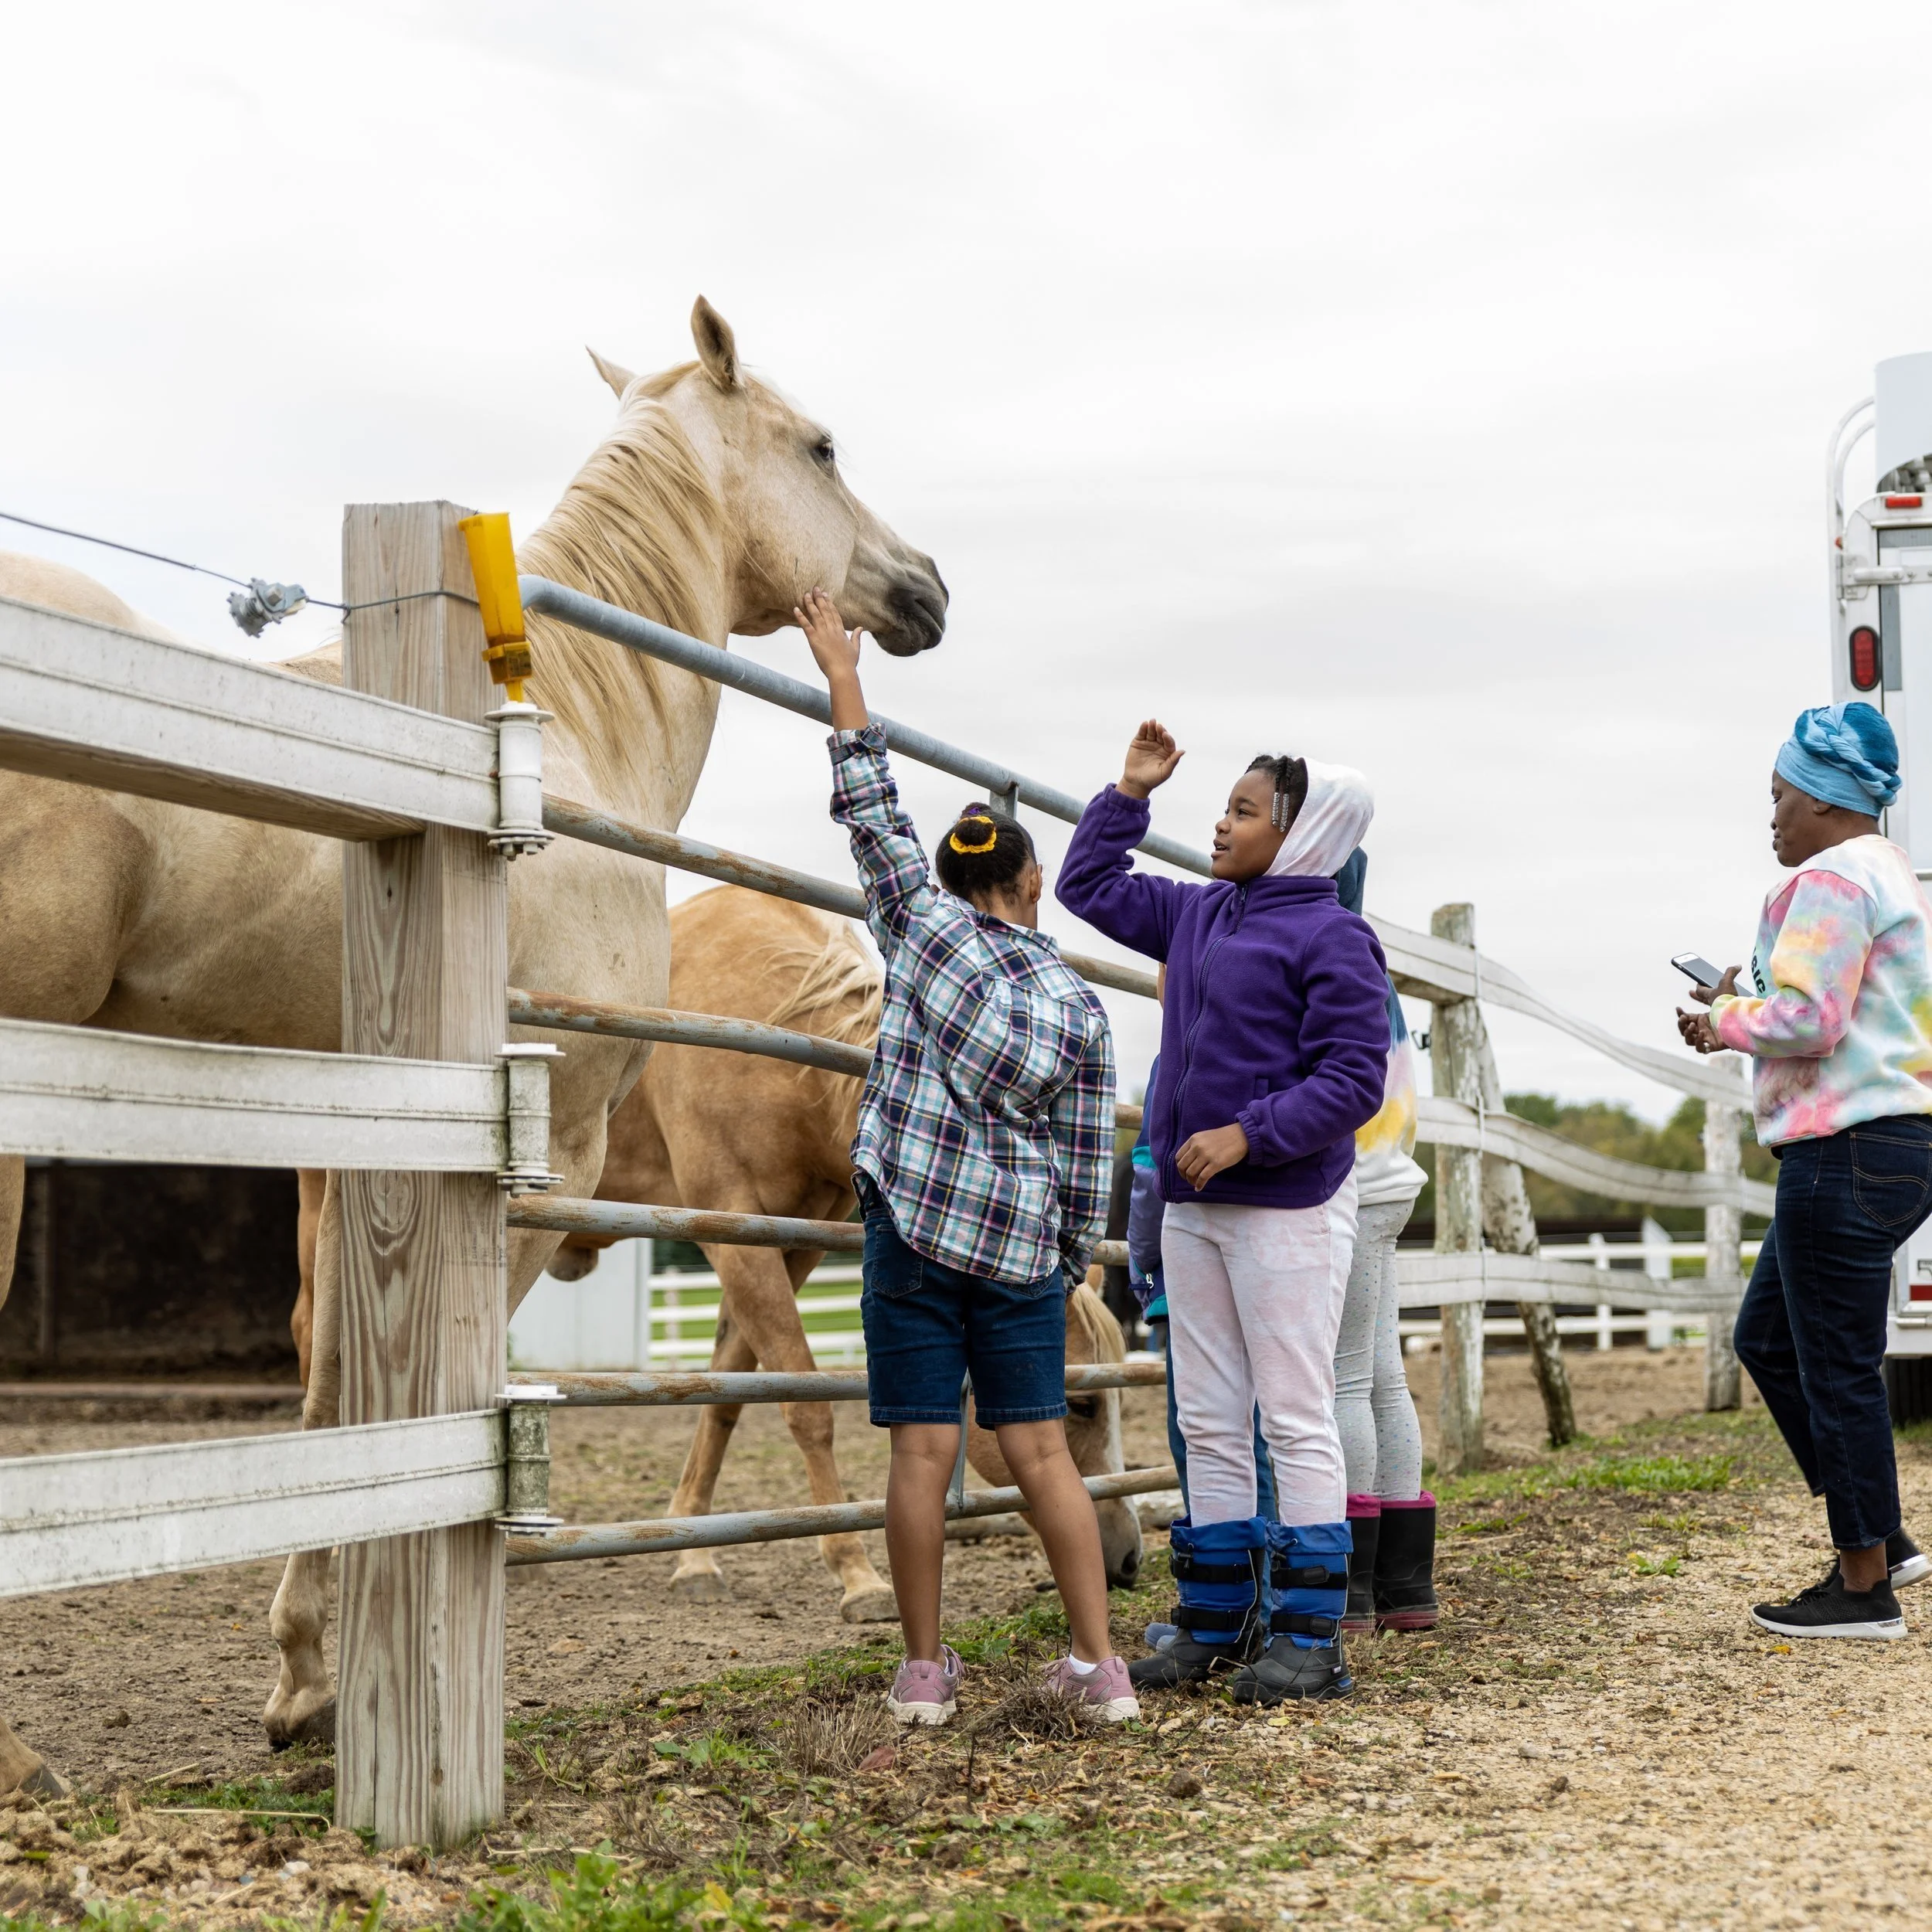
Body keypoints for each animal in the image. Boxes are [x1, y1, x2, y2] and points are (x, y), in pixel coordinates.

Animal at [0, 299, 947, 1788]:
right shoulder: (542, 1163)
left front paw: (308, 1679)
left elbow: (340, 1394)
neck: (550, 742)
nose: (927, 587)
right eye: (823, 445)